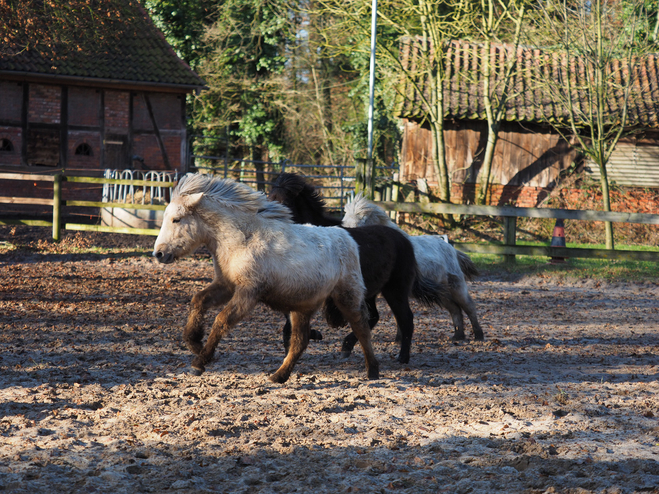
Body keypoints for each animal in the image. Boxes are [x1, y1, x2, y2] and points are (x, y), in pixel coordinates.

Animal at [153, 174, 378, 382]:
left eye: (176, 219)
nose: (159, 254)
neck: (242, 239)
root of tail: (348, 239)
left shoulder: (248, 293)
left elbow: (221, 320)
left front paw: (199, 362)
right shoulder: (226, 285)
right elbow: (198, 301)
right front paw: (194, 342)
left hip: (347, 297)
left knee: (362, 328)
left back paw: (373, 371)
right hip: (302, 307)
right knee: (299, 342)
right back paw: (279, 375)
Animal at [268, 173, 444, 362]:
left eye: (286, 201)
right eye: (269, 198)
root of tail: (405, 240)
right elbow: (288, 322)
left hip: (395, 290)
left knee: (406, 319)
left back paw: (402, 357)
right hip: (372, 291)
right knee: (375, 317)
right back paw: (347, 346)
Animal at [340, 195, 484, 342]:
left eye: (360, 221)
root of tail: (452, 249)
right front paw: (399, 338)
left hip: (456, 287)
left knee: (469, 307)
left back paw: (478, 335)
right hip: (442, 292)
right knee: (455, 309)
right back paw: (458, 335)